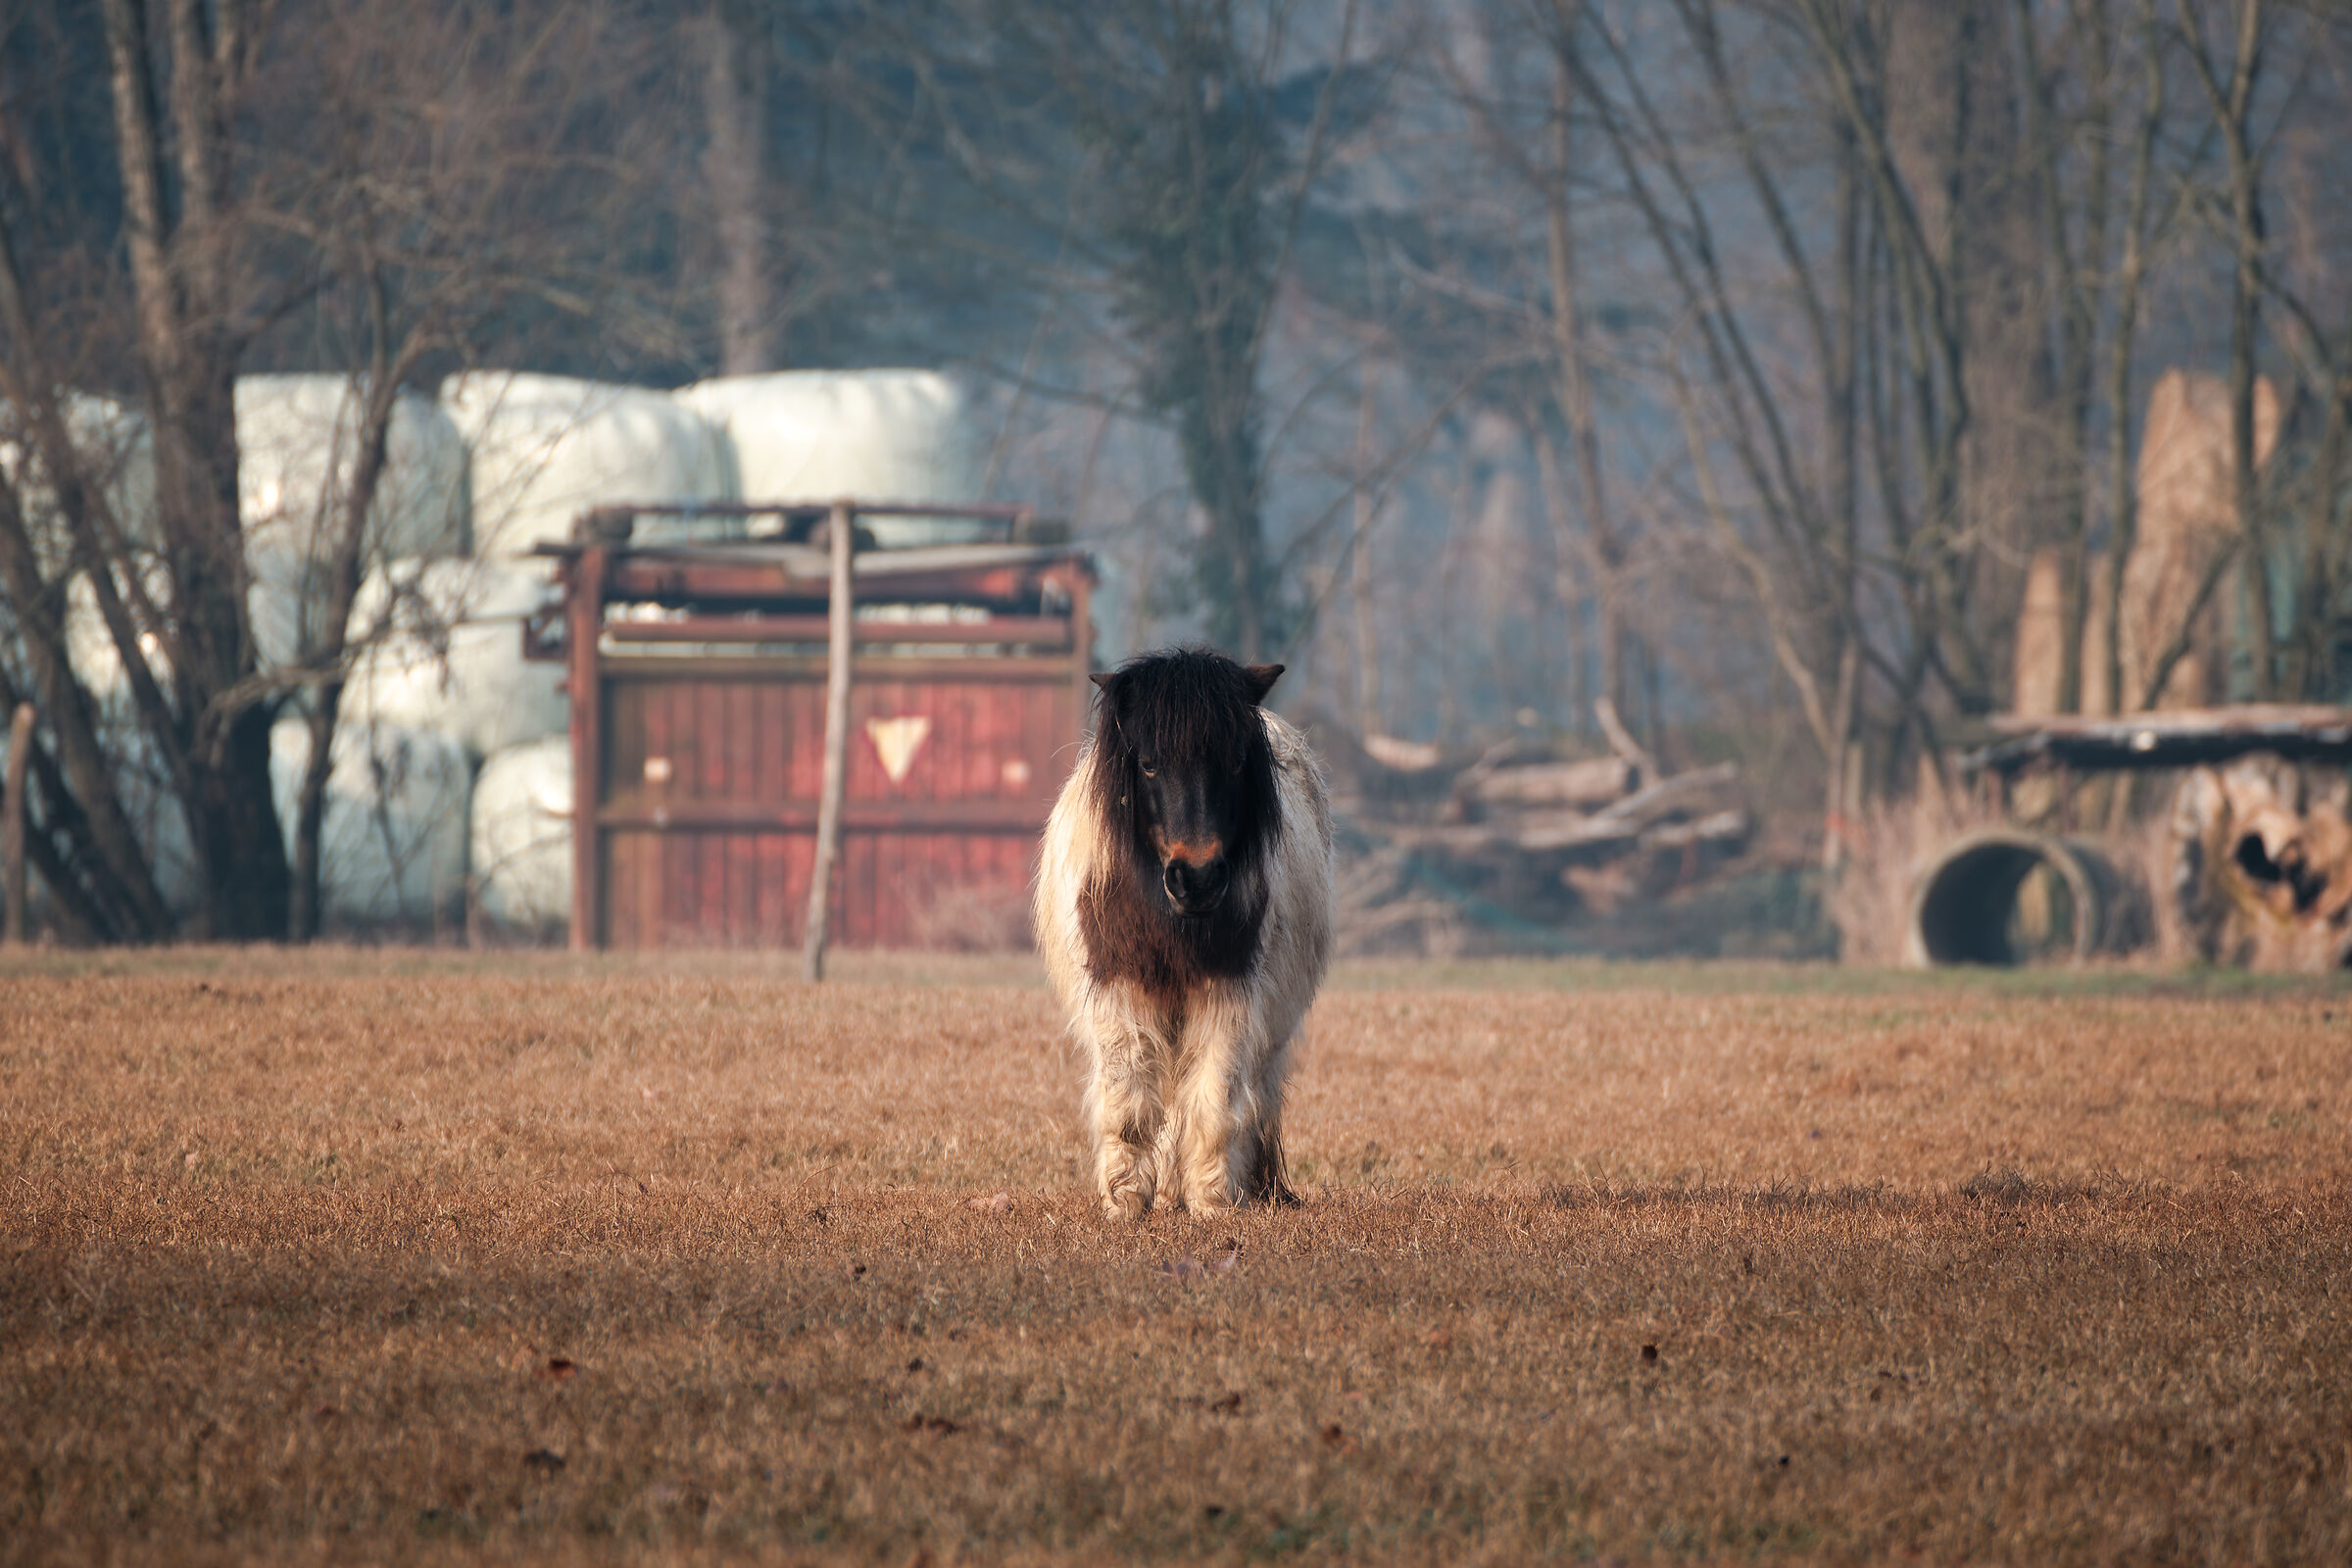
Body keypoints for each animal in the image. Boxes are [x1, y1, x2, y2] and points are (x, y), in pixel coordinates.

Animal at [1035, 646, 1334, 1219]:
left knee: (1252, 1097)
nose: (1196, 878)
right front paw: (1125, 1202)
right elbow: (1128, 1105)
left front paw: (1213, 1202)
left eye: (1237, 761)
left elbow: (1216, 1098)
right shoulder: (1119, 989)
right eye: (1148, 763)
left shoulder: (1229, 993)